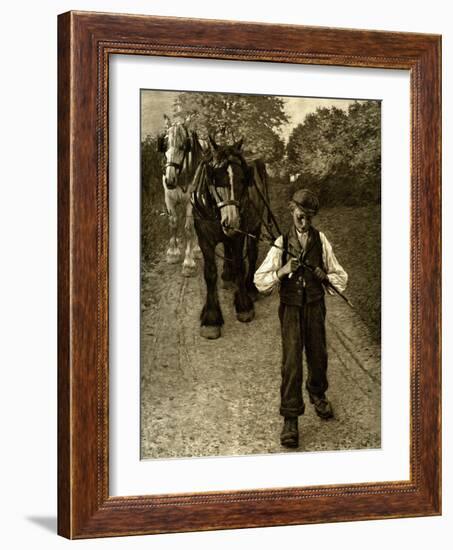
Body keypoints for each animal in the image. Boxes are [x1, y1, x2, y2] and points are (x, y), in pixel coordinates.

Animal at [158, 118, 202, 278]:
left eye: (184, 146)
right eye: (164, 144)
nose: (170, 180)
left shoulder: (191, 202)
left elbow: (189, 228)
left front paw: (188, 263)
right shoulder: (168, 199)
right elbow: (173, 222)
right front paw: (173, 253)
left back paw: (196, 249)